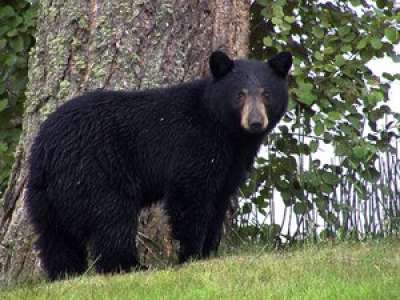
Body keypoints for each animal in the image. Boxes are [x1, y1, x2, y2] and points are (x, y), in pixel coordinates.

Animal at [26, 50, 292, 280]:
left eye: (267, 94)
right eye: (239, 94)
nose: (255, 122)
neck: (227, 131)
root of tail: (46, 149)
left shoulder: (232, 163)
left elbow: (219, 201)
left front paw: (209, 252)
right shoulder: (194, 145)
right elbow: (190, 197)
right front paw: (191, 255)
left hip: (44, 195)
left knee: (54, 236)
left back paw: (66, 273)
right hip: (95, 172)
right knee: (112, 218)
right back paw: (129, 266)